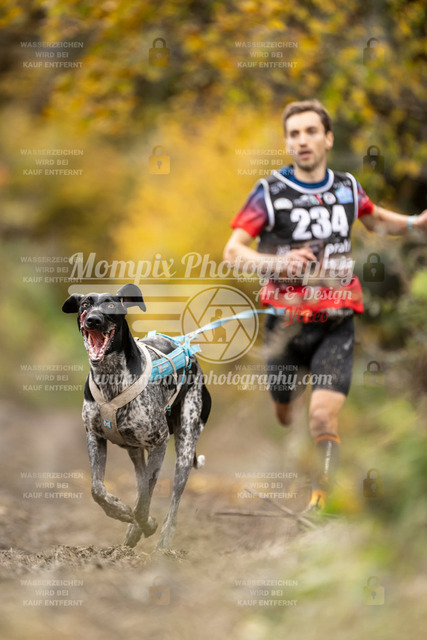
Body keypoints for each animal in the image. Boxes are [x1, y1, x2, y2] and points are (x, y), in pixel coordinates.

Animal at [62, 284, 211, 550]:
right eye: (85, 305)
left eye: (111, 305)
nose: (93, 320)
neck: (110, 376)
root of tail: (189, 352)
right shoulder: (95, 437)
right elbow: (97, 490)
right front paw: (120, 512)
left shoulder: (159, 442)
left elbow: (143, 503)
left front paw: (146, 524)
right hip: (135, 451)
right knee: (142, 487)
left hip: (184, 447)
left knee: (172, 504)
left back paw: (162, 542)